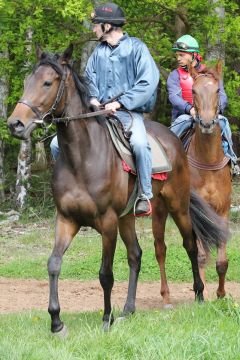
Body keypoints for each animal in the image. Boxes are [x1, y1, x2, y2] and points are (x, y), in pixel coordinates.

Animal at [7, 45, 229, 334]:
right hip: (128, 218)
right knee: (136, 255)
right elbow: (54, 264)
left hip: (177, 207)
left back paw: (200, 296)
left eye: (47, 82)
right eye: (26, 82)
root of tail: (174, 140)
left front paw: (105, 319)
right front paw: (56, 321)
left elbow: (105, 273)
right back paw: (128, 309)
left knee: (191, 246)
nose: (15, 124)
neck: (83, 158)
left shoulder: (108, 223)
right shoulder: (66, 220)